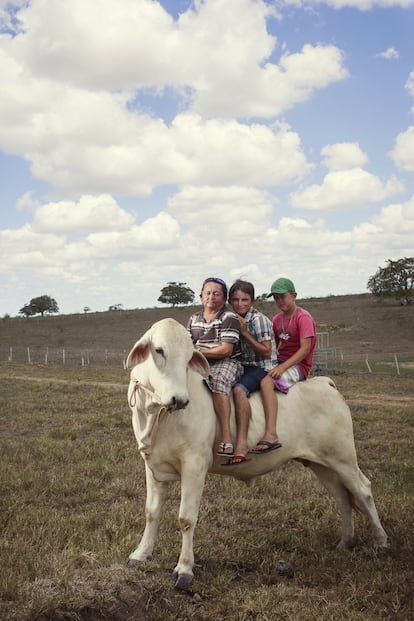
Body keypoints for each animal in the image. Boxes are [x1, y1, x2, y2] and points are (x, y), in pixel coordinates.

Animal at [125, 320, 388, 588]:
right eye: (159, 350)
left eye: (190, 356)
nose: (179, 400)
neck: (156, 415)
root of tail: (324, 383)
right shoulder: (152, 465)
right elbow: (151, 512)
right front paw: (140, 554)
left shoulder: (195, 465)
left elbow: (186, 518)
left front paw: (185, 569)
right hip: (322, 464)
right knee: (342, 497)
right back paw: (346, 542)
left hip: (343, 458)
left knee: (363, 491)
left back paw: (380, 542)